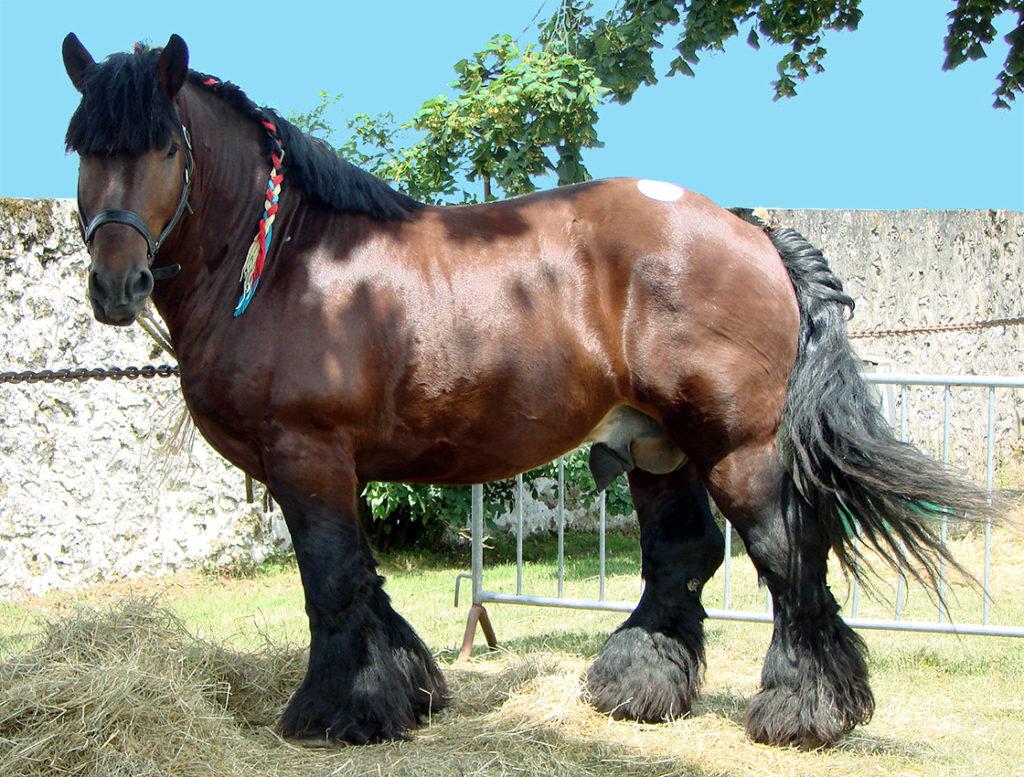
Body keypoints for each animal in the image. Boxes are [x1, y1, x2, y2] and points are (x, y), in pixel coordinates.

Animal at [59, 35, 995, 749]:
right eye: (82, 148)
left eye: (164, 146)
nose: (115, 284)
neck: (290, 260)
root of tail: (750, 229)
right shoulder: (339, 466)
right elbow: (366, 582)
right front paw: (407, 690)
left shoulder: (307, 453)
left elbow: (331, 581)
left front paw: (337, 712)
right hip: (657, 443)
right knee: (685, 554)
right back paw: (637, 684)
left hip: (739, 447)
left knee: (787, 555)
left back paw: (804, 711)